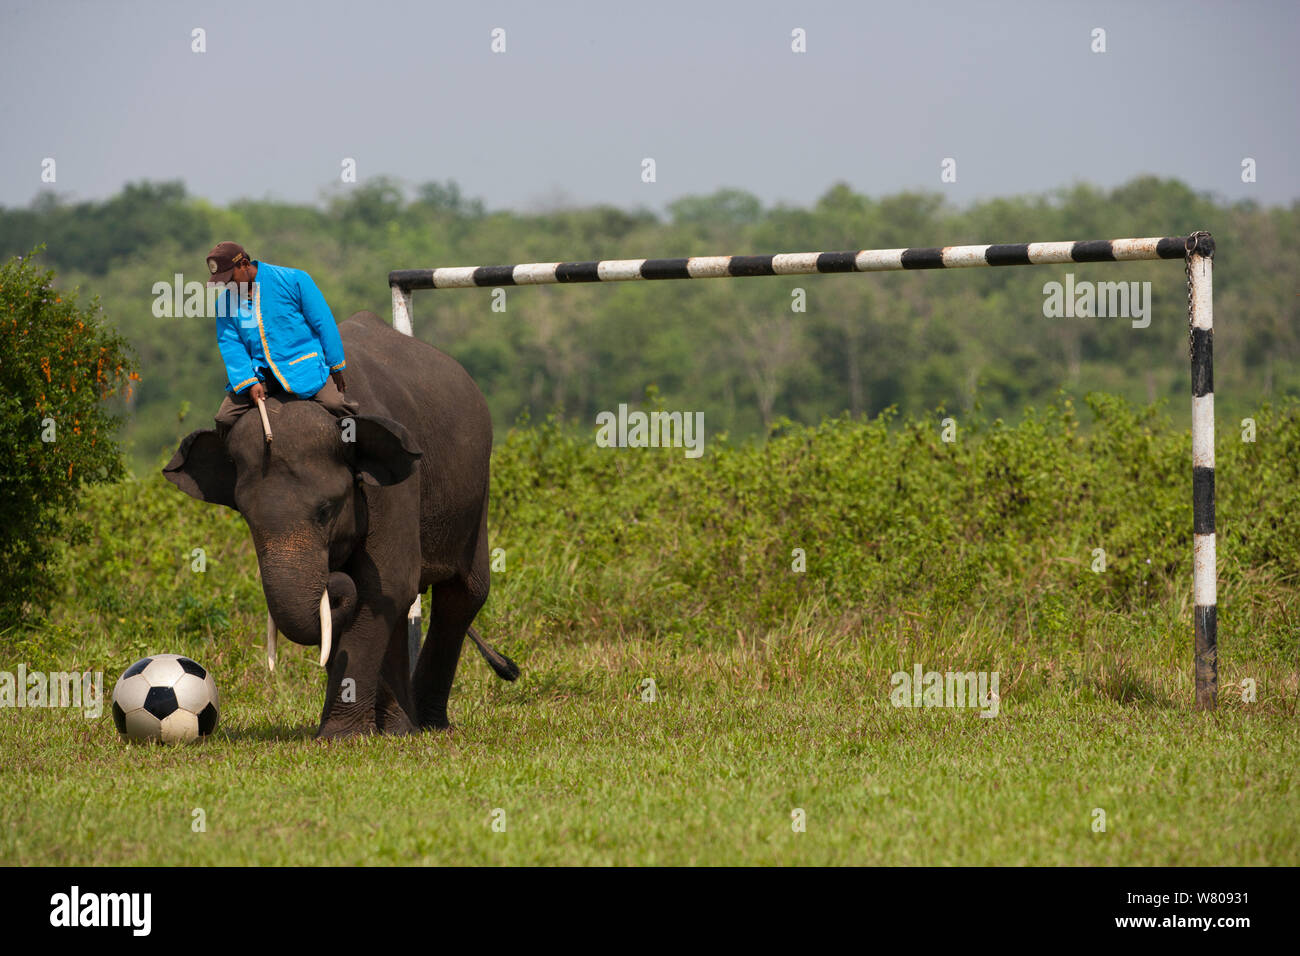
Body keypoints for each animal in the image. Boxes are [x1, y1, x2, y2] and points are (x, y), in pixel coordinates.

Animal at [163, 310, 517, 738]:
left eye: (326, 510)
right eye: (247, 518)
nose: (333, 577)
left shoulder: (396, 489)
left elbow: (384, 585)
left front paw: (340, 737)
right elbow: (358, 605)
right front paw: (348, 732)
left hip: (475, 493)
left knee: (463, 594)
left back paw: (427, 726)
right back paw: (400, 728)